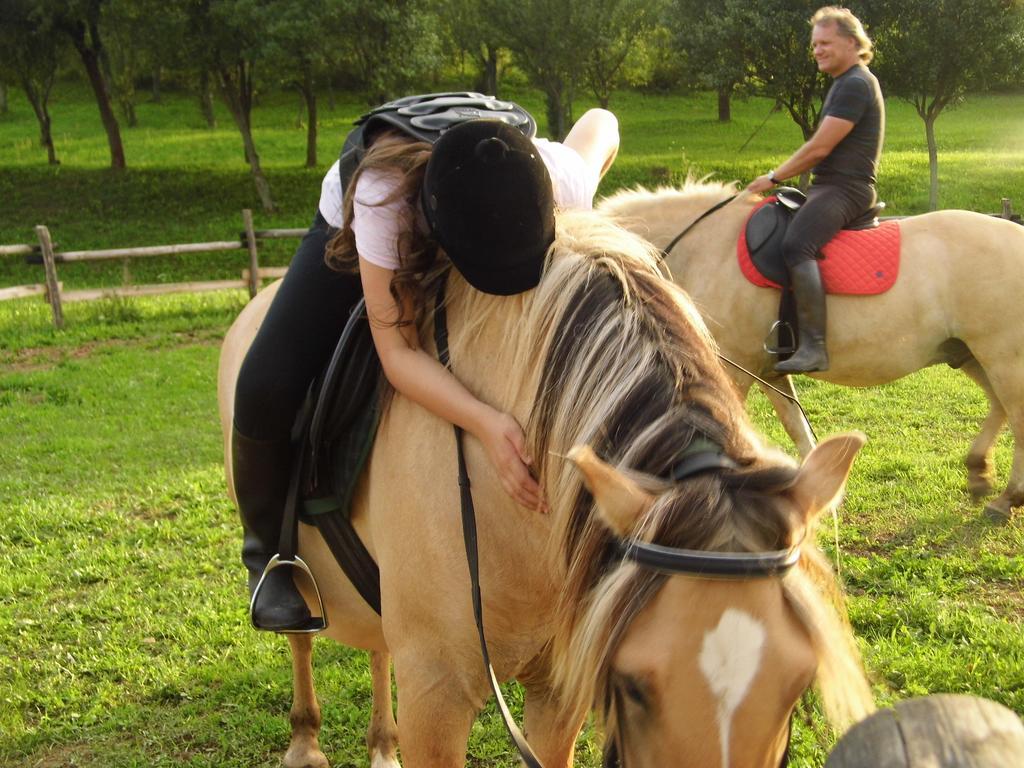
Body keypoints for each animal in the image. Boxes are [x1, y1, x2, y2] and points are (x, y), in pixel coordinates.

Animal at [216, 211, 872, 768]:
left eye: (799, 685)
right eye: (632, 685)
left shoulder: (557, 690)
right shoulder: (435, 692)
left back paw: (381, 746)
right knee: (299, 626)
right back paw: (304, 739)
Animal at [602, 183, 1024, 528]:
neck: (707, 247)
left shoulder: (733, 372)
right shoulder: (767, 372)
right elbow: (795, 425)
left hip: (1002, 357)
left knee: (1015, 415)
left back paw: (1007, 497)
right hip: (971, 354)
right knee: (999, 406)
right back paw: (979, 471)